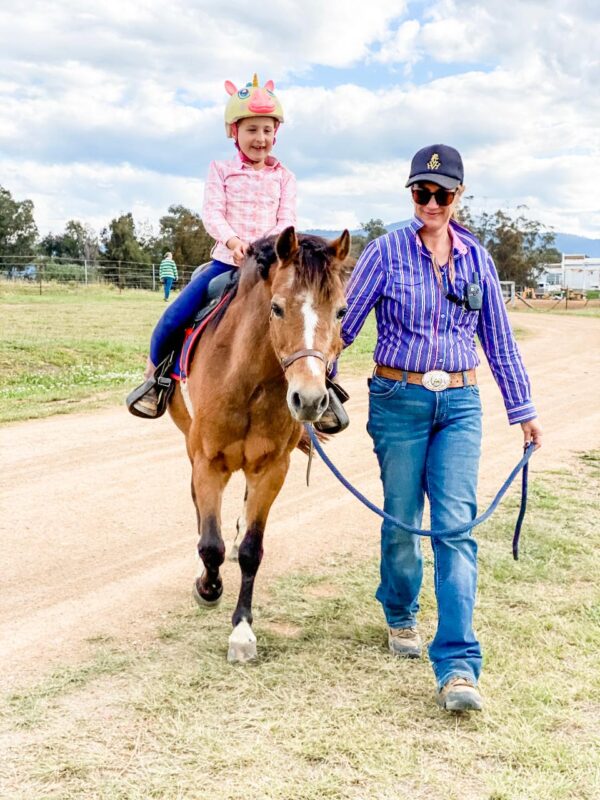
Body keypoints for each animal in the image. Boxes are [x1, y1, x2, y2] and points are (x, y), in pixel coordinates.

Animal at [168, 227, 352, 664]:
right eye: (277, 308)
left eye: (340, 312)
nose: (309, 400)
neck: (248, 382)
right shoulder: (208, 462)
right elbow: (210, 545)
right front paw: (208, 588)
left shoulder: (272, 468)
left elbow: (252, 548)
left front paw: (242, 632)